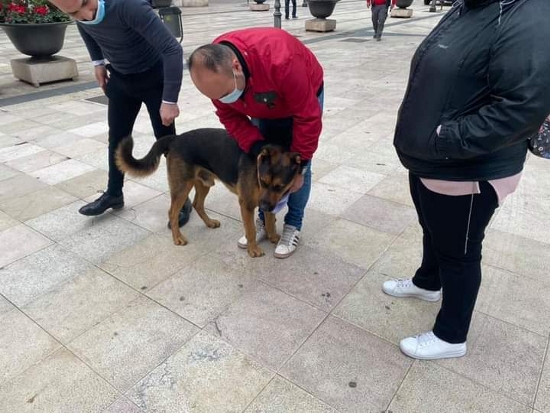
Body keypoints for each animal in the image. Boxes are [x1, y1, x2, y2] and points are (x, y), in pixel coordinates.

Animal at [115, 128, 302, 257]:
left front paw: (273, 237)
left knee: (197, 204)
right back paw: (177, 238)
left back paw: (209, 222)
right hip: (182, 187)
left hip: (204, 183)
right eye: (262, 181)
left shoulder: (271, 202)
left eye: (280, 186)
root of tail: (176, 138)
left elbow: (270, 221)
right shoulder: (247, 204)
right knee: (173, 213)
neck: (257, 167)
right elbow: (251, 230)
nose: (263, 206)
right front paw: (253, 249)